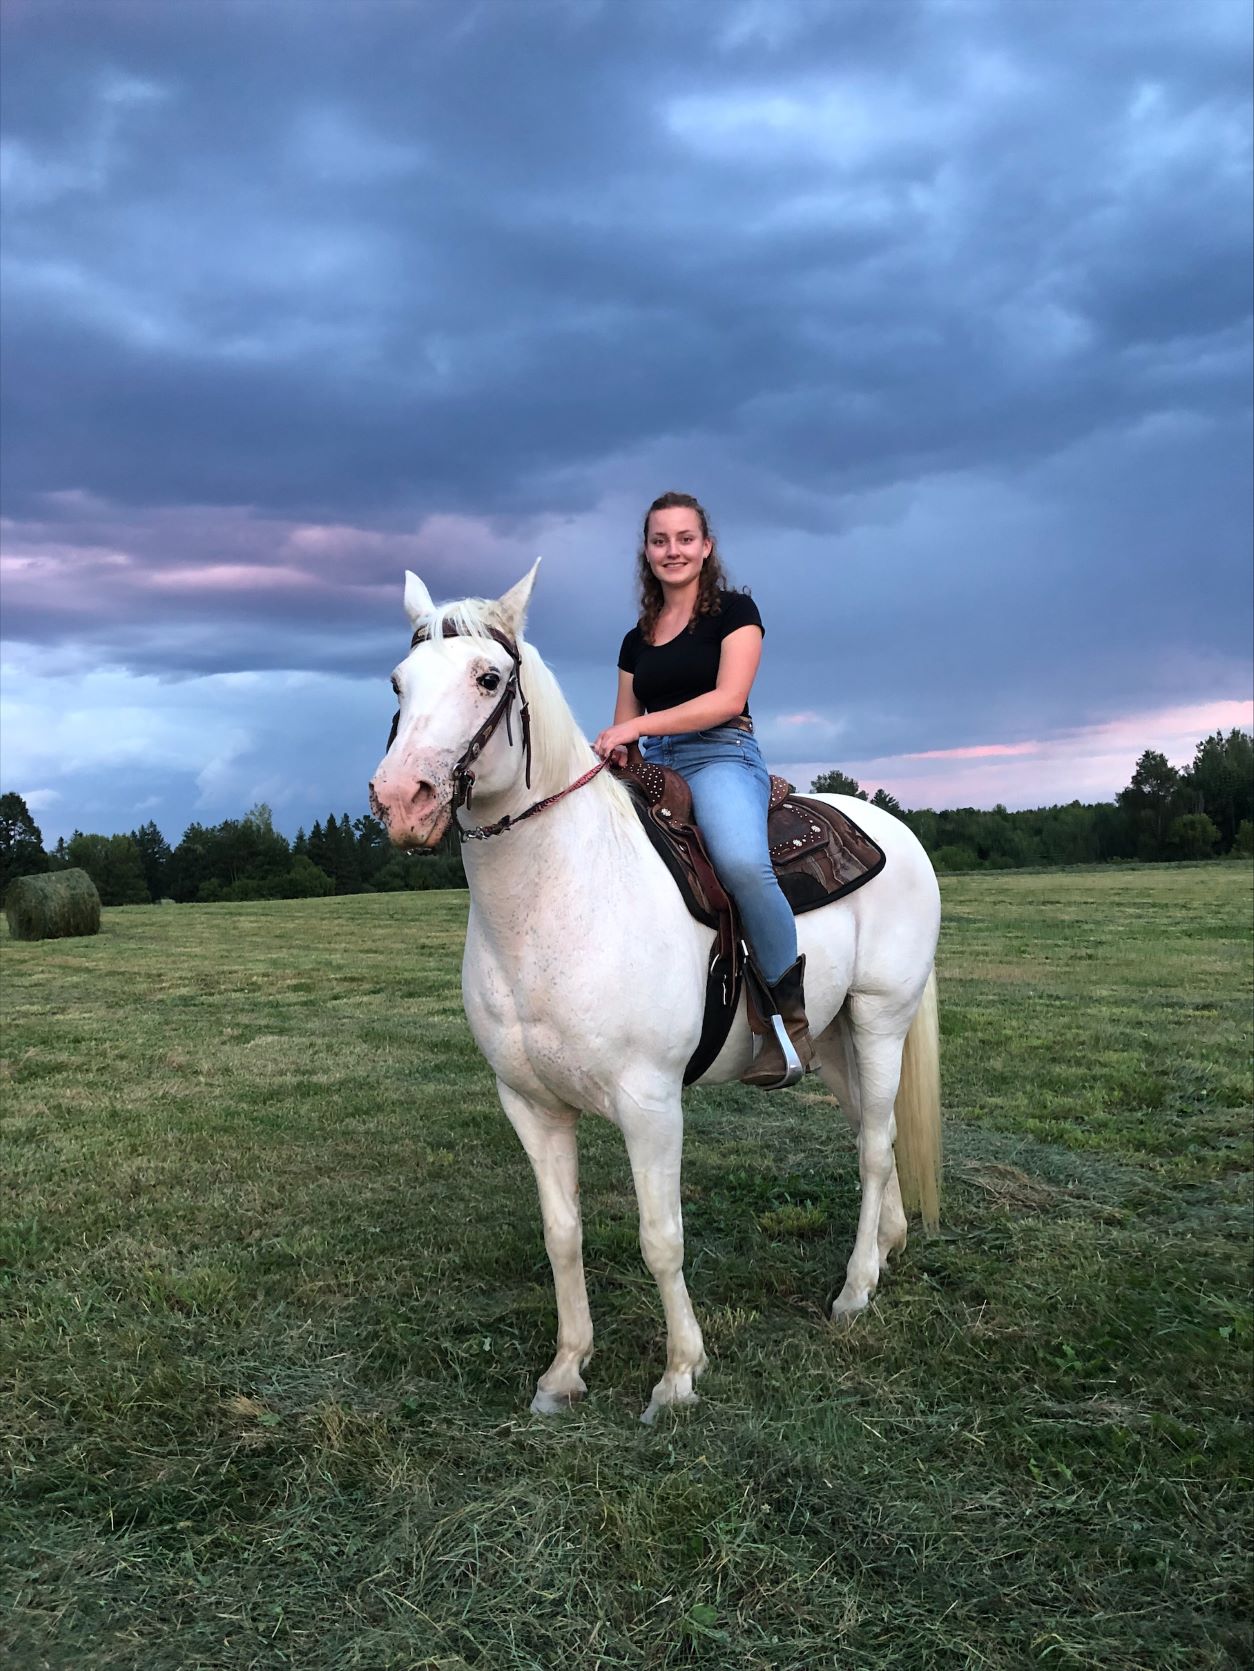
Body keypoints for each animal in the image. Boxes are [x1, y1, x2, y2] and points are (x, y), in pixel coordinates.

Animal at [372, 564, 943, 1423]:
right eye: (399, 682)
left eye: (488, 678)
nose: (400, 798)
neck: (559, 898)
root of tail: (896, 831)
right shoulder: (530, 1105)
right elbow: (562, 1234)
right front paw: (565, 1368)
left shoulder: (650, 1103)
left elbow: (660, 1237)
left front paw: (679, 1374)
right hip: (836, 1034)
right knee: (868, 1134)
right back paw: (886, 1248)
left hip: (881, 1018)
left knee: (875, 1146)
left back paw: (854, 1290)